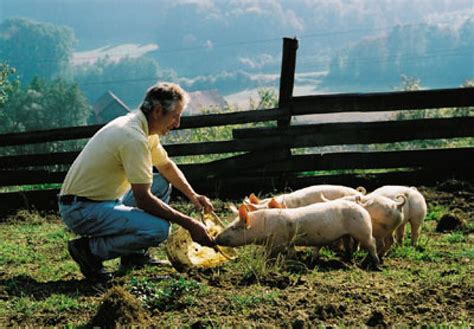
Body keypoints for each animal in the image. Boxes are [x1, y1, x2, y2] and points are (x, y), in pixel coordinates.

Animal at [216, 199, 382, 268]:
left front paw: (268, 263)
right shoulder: (289, 241)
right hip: (348, 234)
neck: (263, 226)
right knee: (349, 245)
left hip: (363, 230)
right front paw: (294, 261)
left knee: (372, 243)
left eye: (233, 228)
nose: (215, 238)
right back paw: (347, 260)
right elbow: (292, 252)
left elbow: (272, 254)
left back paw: (376, 263)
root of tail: (363, 209)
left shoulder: (278, 241)